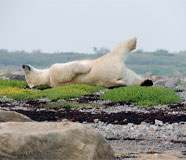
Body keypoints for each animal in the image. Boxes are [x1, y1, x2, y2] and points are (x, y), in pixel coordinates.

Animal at [22, 37, 153, 88]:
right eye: (27, 77)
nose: (23, 65)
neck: (46, 78)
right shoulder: (54, 71)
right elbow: (67, 69)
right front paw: (86, 67)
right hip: (110, 62)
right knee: (120, 49)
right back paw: (133, 41)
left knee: (134, 79)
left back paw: (147, 81)